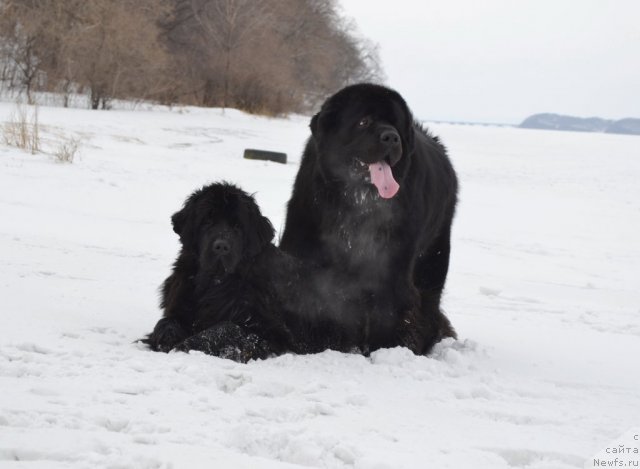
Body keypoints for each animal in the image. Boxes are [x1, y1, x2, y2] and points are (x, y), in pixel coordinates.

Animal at [282, 82, 458, 352]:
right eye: (363, 122)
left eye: (395, 125)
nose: (392, 137)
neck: (356, 205)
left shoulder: (391, 265)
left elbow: (388, 309)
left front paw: (383, 350)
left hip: (433, 258)